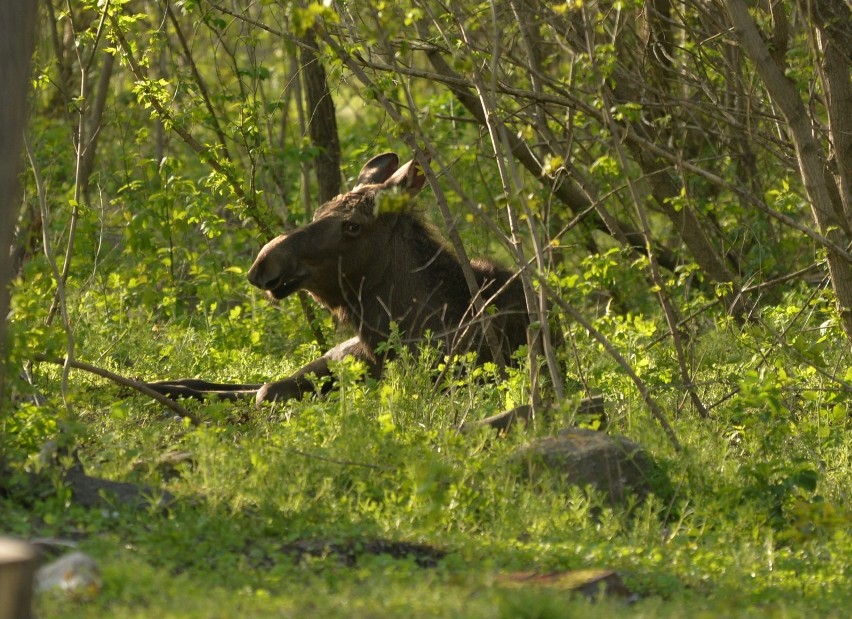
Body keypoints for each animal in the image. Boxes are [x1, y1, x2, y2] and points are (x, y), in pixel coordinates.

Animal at [148, 151, 532, 412]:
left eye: (352, 225)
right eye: (319, 212)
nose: (263, 263)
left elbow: (269, 391)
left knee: (259, 387)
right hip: (338, 356)